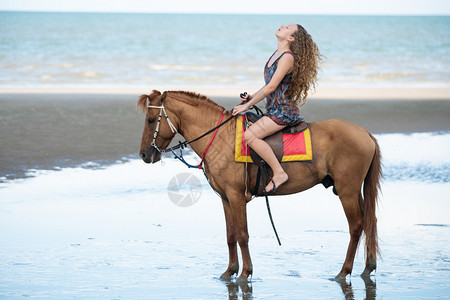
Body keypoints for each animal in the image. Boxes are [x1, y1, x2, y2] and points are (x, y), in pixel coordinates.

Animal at [138, 90, 384, 282]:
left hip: (347, 191)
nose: (143, 155)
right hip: (355, 191)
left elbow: (242, 234)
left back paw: (344, 271)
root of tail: (364, 133)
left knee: (356, 226)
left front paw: (245, 272)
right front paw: (230, 271)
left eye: (151, 119)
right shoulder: (225, 197)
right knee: (370, 221)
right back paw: (368, 266)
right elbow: (230, 235)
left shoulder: (236, 196)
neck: (220, 137)